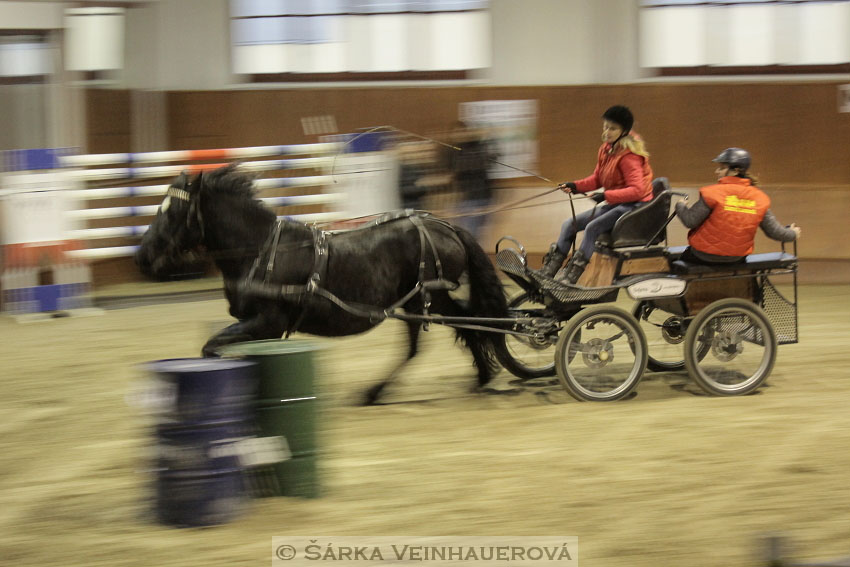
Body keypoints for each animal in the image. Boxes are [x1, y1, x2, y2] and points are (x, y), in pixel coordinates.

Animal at [136, 164, 506, 404]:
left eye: (172, 212)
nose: (142, 256)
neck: (259, 250)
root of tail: (445, 226)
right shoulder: (257, 325)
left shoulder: (268, 322)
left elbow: (212, 347)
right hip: (421, 301)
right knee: (460, 327)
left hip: (427, 298)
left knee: (456, 329)